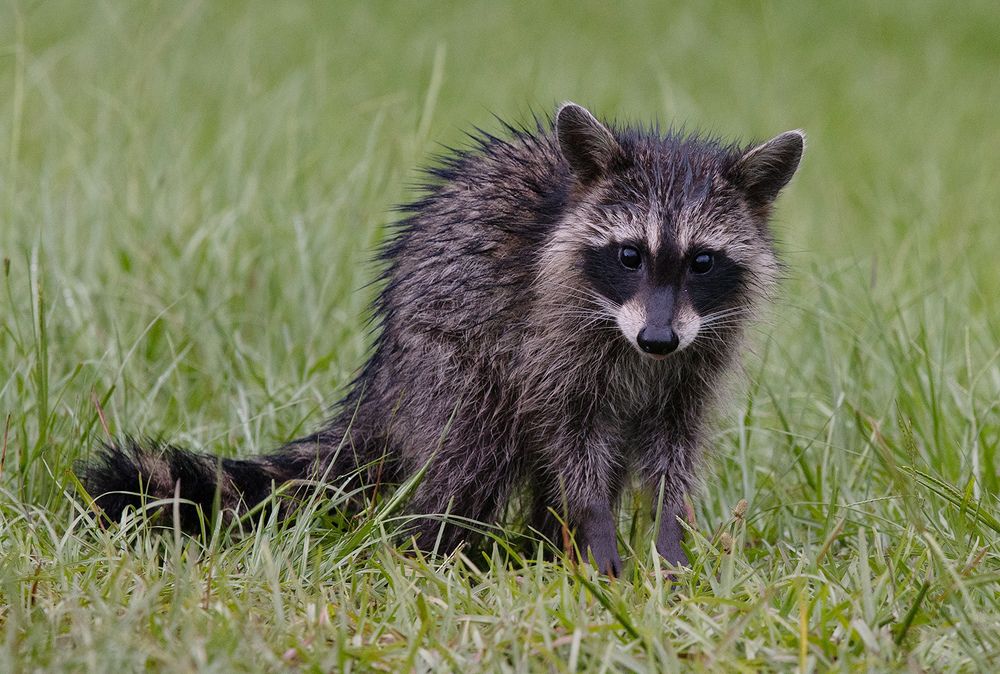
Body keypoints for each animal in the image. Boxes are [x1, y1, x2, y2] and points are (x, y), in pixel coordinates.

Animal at [82, 103, 803, 575]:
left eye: (702, 262)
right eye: (629, 255)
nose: (656, 340)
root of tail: (385, 371)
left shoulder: (695, 362)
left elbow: (673, 455)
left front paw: (669, 544)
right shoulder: (549, 345)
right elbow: (575, 446)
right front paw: (600, 536)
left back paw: (544, 545)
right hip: (449, 361)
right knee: (468, 454)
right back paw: (437, 552)